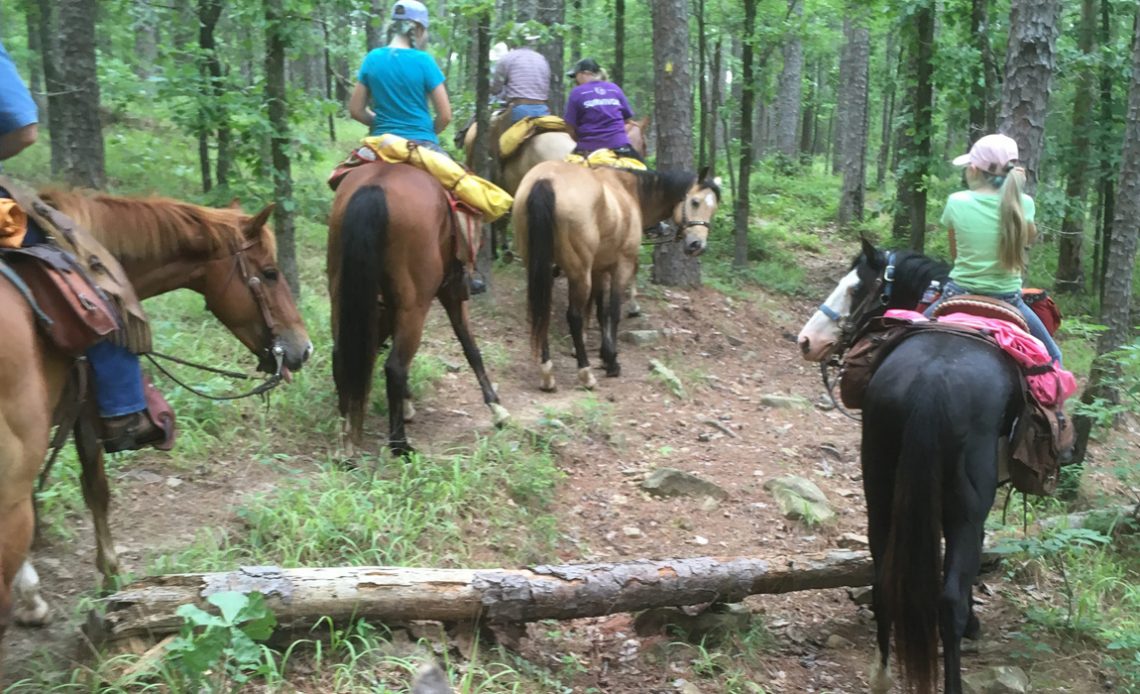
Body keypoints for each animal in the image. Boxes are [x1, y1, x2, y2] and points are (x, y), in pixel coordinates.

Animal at [328, 161, 510, 455]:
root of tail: (376, 187)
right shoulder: (452, 292)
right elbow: (469, 345)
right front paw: (497, 409)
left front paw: (406, 405)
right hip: (415, 305)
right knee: (395, 366)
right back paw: (400, 446)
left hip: (341, 295)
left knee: (342, 355)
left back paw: (347, 443)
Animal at [513, 159, 715, 392]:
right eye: (695, 202)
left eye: (714, 208)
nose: (697, 245)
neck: (629, 192)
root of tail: (546, 180)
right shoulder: (621, 266)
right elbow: (614, 312)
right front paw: (611, 362)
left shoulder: (598, 269)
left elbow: (601, 311)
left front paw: (605, 355)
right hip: (579, 273)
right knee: (573, 316)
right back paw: (585, 373)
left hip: (539, 268)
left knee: (541, 311)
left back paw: (547, 373)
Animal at [793, 239, 1026, 692]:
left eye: (854, 289)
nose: (807, 341)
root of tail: (933, 379)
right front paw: (975, 623)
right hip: (966, 503)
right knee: (949, 599)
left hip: (880, 483)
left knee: (883, 575)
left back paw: (882, 674)